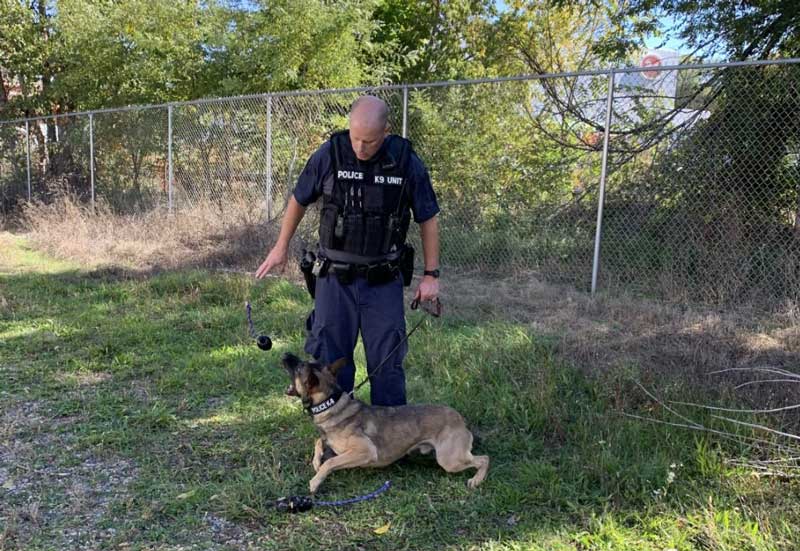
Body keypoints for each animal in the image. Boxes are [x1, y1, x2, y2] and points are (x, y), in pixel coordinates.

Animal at [282, 354, 488, 496]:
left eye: (299, 367)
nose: (285, 354)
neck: (331, 404)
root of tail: (460, 419)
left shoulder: (365, 451)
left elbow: (331, 461)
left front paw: (316, 481)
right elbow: (319, 441)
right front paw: (316, 461)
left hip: (449, 460)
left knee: (485, 459)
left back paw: (476, 480)